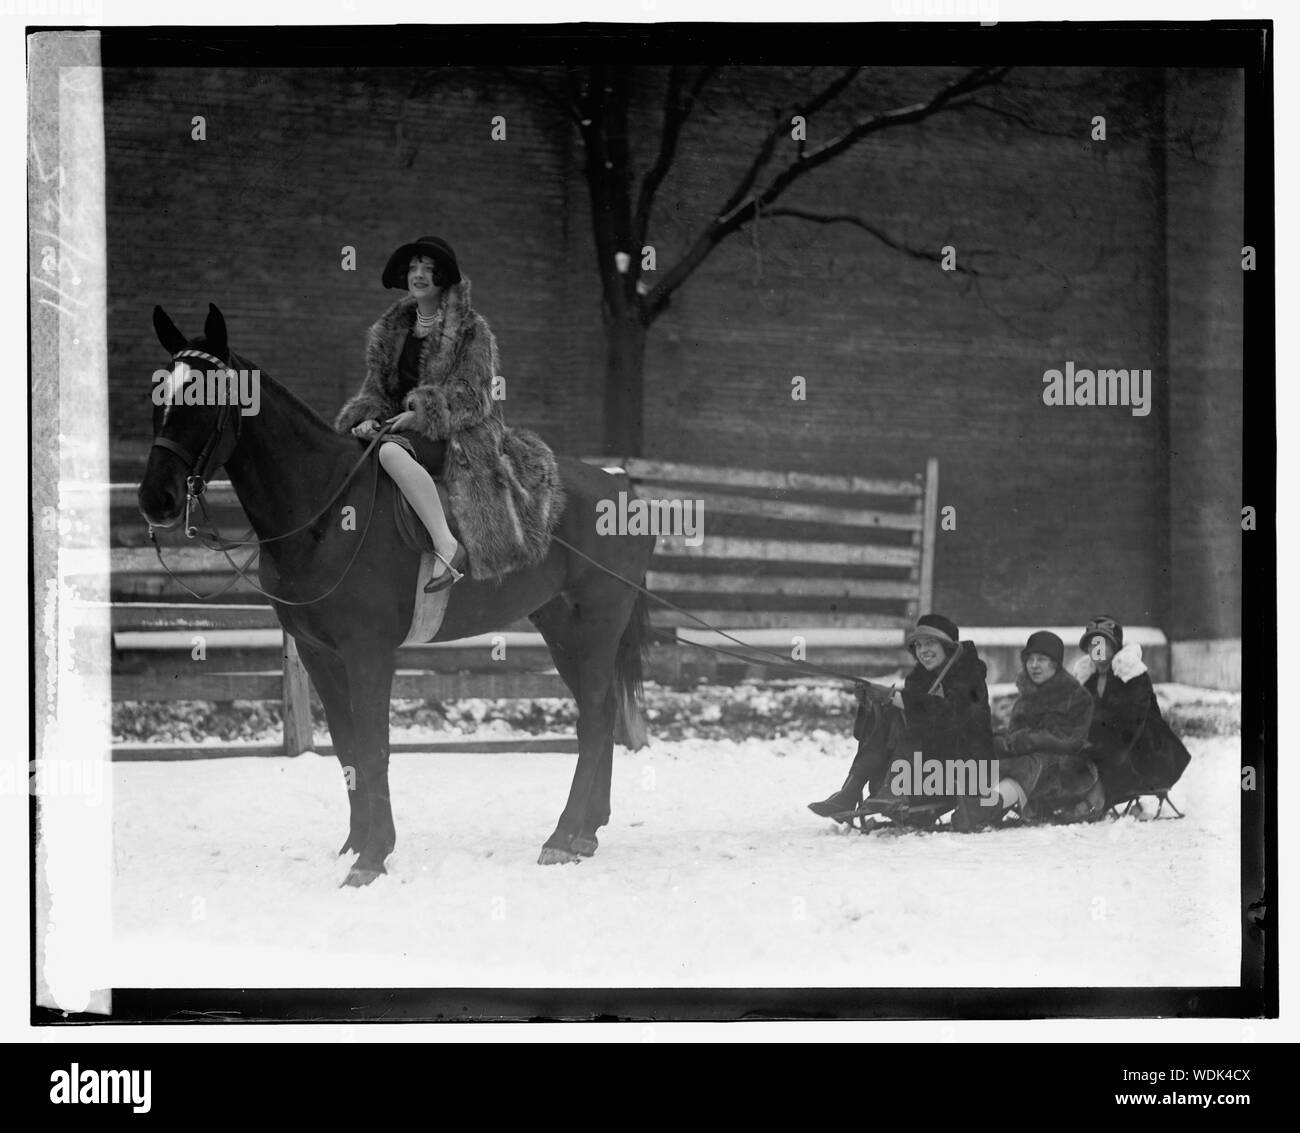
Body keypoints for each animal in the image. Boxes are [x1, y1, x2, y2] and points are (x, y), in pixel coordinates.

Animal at [139, 302, 660, 883]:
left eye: (203, 398)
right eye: (159, 394)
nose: (155, 499)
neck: (324, 509)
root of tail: (622, 487)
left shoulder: (369, 653)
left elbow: (373, 748)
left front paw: (372, 856)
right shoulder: (320, 654)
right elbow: (347, 747)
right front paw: (357, 843)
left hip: (598, 623)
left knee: (594, 716)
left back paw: (564, 834)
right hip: (561, 627)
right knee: (602, 710)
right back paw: (586, 830)